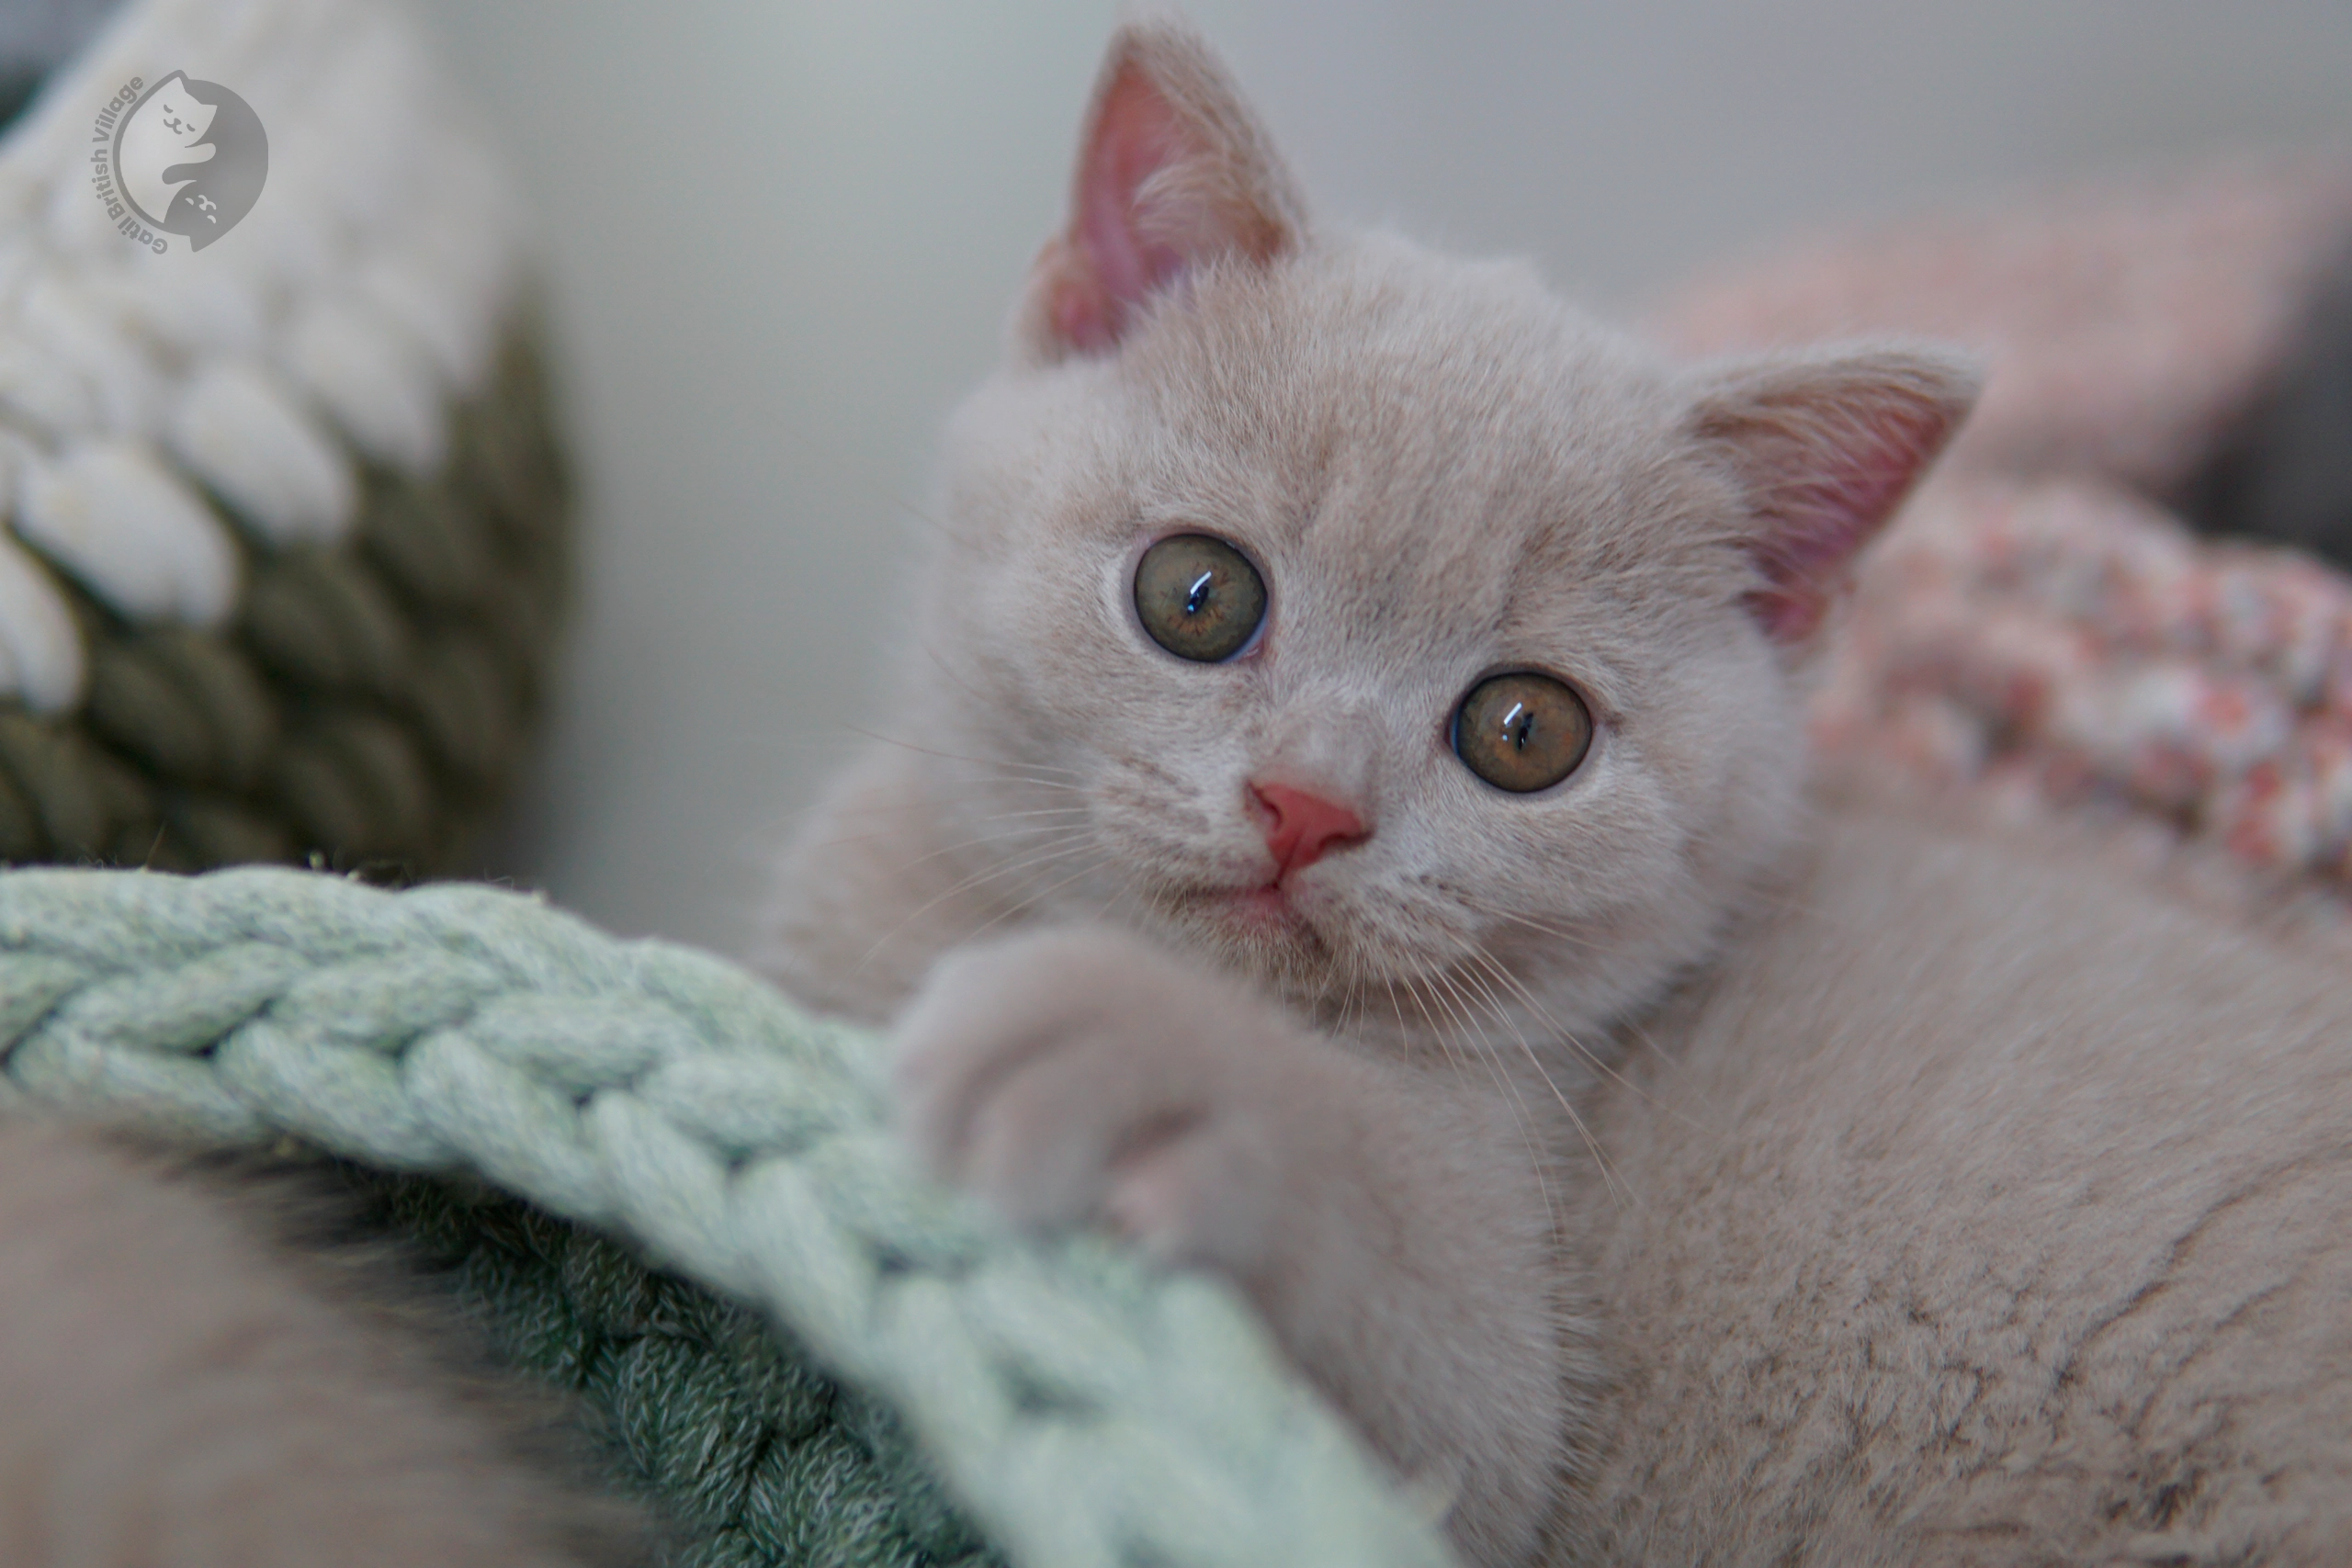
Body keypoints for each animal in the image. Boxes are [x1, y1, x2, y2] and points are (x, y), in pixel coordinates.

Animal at [766, 15, 2352, 1568]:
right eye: (1196, 594)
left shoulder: (1483, 1360)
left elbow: (1429, 1333)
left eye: (1526, 730)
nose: (1307, 802)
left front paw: (1130, 1045)